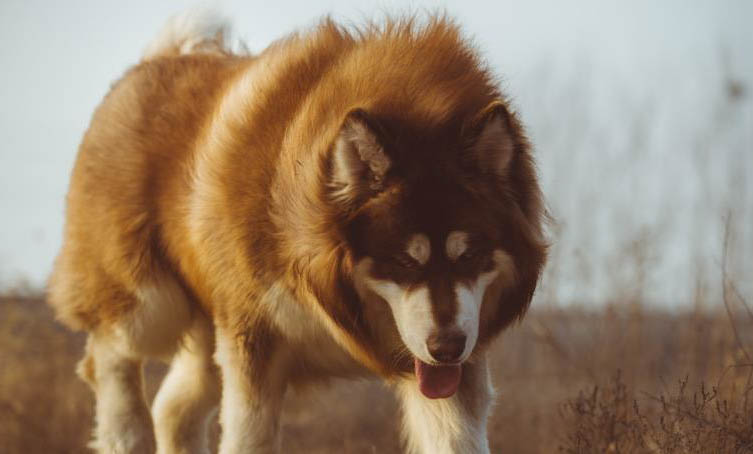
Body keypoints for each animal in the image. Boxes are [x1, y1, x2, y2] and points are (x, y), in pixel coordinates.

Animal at [48, 10, 548, 454]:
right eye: (404, 260)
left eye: (470, 256)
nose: (446, 348)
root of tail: (158, 59)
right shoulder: (252, 339)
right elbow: (248, 437)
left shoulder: (458, 359)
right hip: (150, 304)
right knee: (108, 358)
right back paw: (123, 431)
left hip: (208, 333)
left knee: (173, 408)